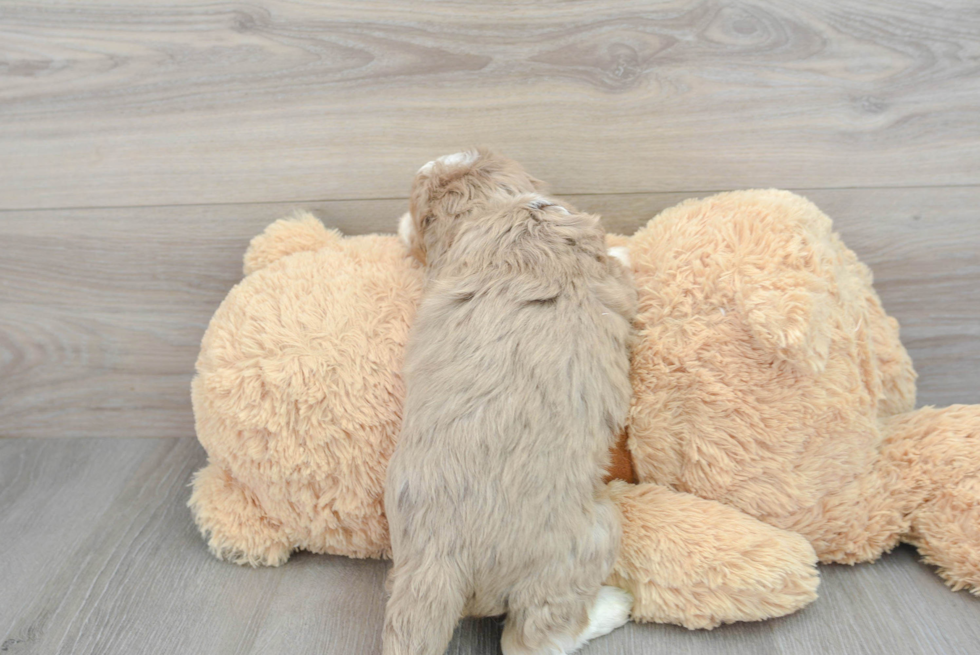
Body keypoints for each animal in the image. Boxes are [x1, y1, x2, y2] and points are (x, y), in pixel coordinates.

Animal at [382, 150, 636, 655]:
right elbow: (619, 263)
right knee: (535, 638)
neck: (498, 211)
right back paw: (613, 607)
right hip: (590, 537)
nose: (400, 222)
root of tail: (437, 561)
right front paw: (626, 249)